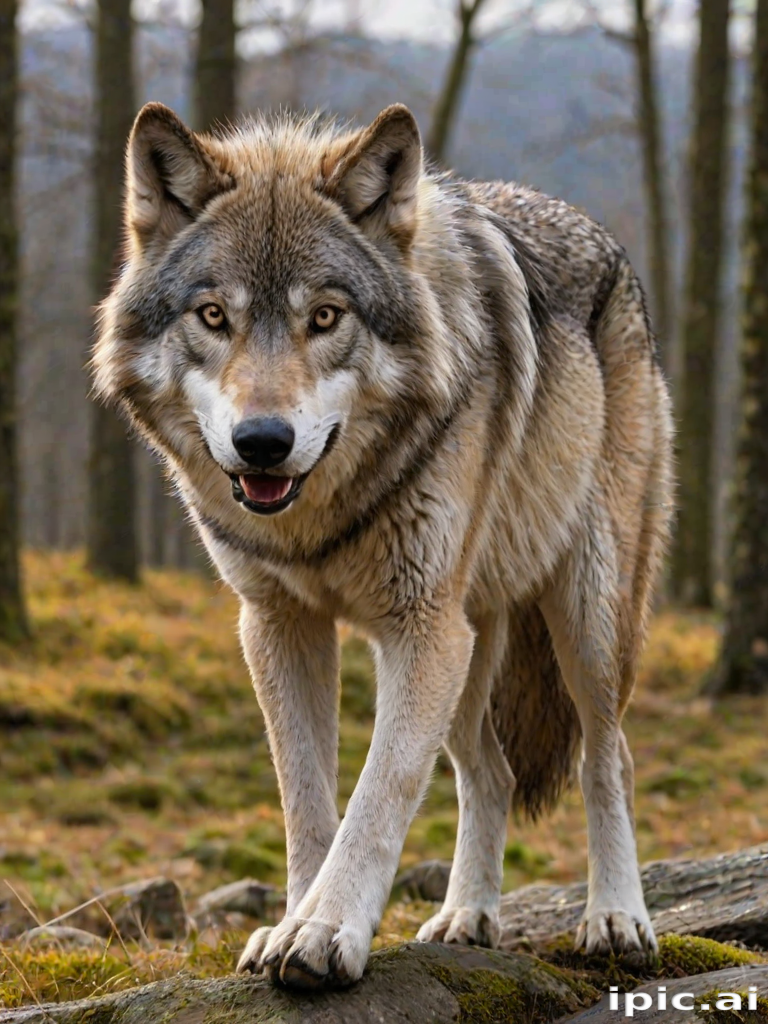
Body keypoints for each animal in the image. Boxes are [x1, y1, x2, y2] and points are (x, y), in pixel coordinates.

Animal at [92, 100, 673, 989]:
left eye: (325, 317)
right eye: (214, 316)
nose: (263, 442)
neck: (318, 521)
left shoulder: (419, 631)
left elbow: (379, 792)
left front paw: (325, 931)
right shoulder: (281, 627)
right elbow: (306, 799)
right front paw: (289, 922)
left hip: (582, 617)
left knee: (608, 761)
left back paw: (615, 918)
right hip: (472, 643)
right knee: (492, 772)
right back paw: (467, 917)